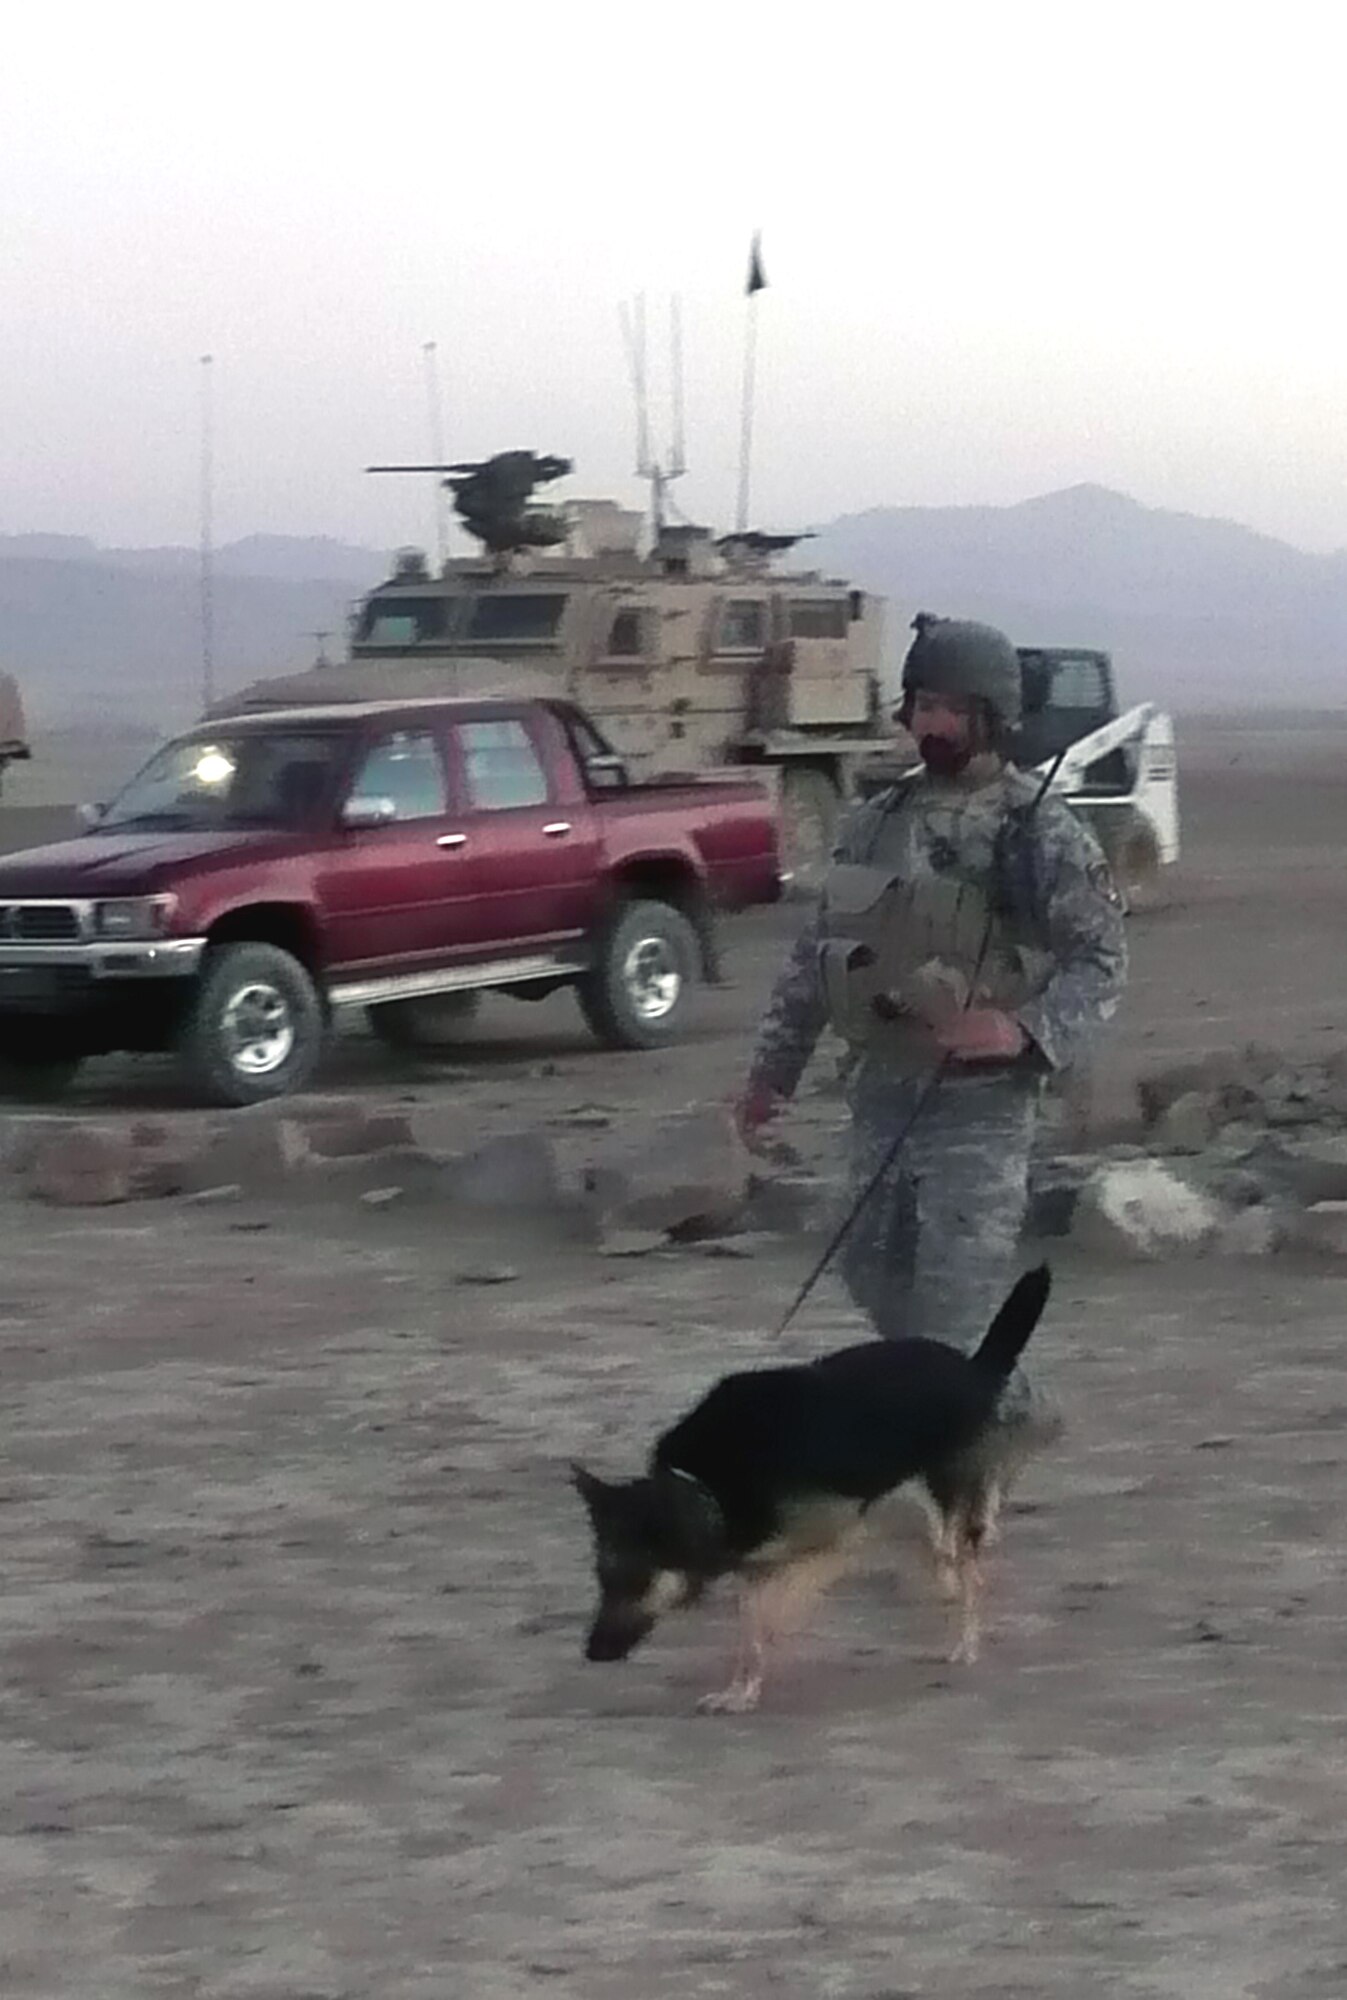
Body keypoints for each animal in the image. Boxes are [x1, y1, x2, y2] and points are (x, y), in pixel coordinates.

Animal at [567, 1272, 1047, 1712]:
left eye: (633, 1579)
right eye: (602, 1577)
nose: (592, 1654)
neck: (705, 1485)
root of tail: (972, 1366)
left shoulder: (831, 1539)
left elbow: (766, 1617)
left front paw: (758, 1666)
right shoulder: (755, 1561)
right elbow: (750, 1623)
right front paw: (739, 1689)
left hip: (942, 1498)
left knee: (970, 1570)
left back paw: (965, 1642)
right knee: (945, 1552)